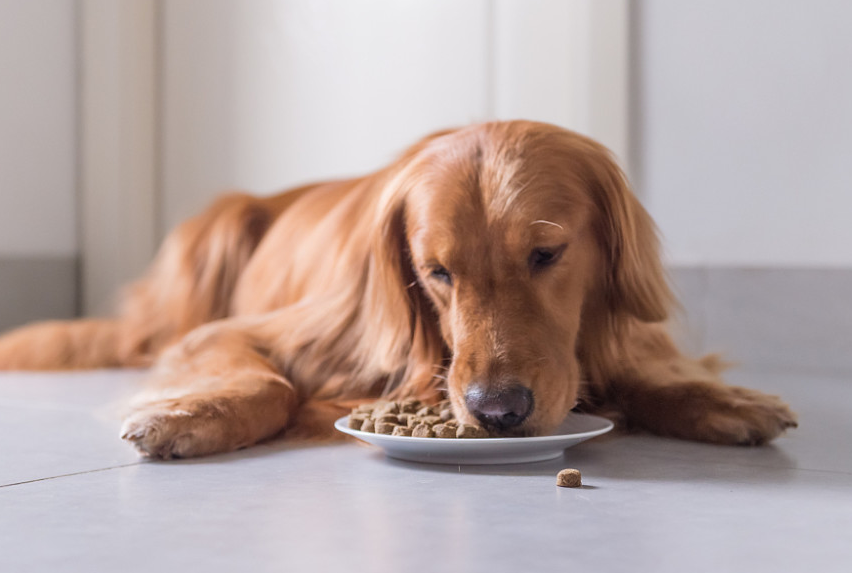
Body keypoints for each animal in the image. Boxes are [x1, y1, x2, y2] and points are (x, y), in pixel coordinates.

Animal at [1, 119, 800, 456]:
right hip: (215, 230)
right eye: (435, 272)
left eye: (546, 253)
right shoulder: (238, 332)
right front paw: (191, 413)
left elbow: (650, 369)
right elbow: (270, 381)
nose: (498, 412)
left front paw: (724, 400)